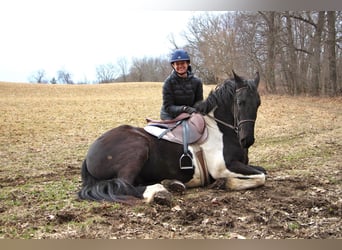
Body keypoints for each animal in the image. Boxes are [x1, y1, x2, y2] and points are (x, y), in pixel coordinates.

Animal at [78, 71, 268, 205]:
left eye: (258, 103)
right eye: (240, 102)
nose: (247, 140)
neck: (219, 129)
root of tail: (90, 153)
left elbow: (263, 172)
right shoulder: (223, 167)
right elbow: (261, 177)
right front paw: (224, 183)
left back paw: (172, 184)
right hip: (138, 149)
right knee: (124, 185)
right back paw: (158, 191)